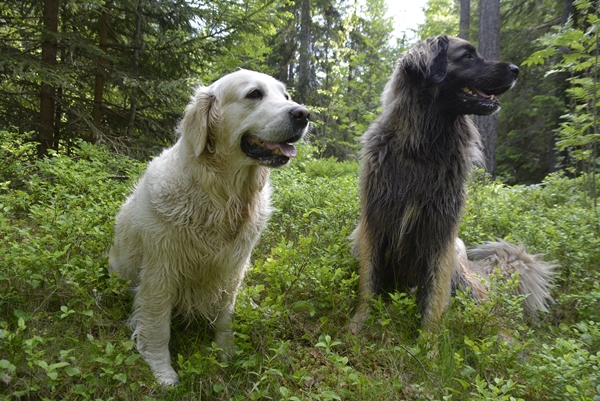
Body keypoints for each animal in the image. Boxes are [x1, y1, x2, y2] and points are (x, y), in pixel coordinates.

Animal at [108, 69, 312, 384]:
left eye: (286, 95)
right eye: (254, 94)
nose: (304, 114)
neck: (223, 197)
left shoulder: (234, 267)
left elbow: (226, 313)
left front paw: (225, 351)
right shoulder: (160, 267)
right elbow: (156, 322)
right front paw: (161, 369)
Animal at [350, 36, 556, 332]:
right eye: (467, 56)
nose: (516, 69)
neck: (423, 148)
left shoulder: (441, 232)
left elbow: (435, 297)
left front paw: (429, 341)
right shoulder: (375, 221)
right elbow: (368, 281)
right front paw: (357, 325)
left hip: (463, 273)